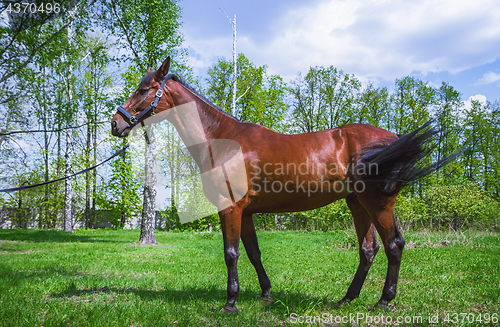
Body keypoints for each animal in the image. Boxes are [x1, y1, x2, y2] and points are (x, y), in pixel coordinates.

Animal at [113, 56, 450, 312]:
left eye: (144, 89)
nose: (116, 123)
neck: (220, 139)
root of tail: (392, 138)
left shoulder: (230, 208)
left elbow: (231, 253)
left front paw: (230, 303)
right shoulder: (246, 212)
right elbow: (253, 253)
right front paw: (266, 294)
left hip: (376, 203)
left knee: (394, 245)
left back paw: (383, 301)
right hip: (357, 203)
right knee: (368, 249)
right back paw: (346, 299)